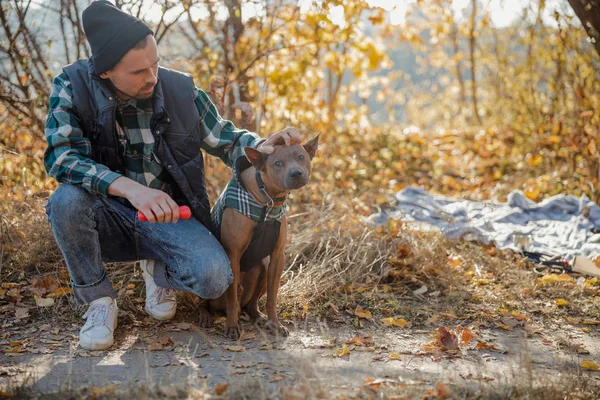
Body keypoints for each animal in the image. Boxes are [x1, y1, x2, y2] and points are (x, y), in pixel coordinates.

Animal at [200, 137, 318, 338]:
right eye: (277, 163)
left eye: (301, 157)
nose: (296, 173)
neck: (267, 201)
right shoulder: (233, 255)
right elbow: (231, 299)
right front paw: (232, 326)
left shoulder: (278, 256)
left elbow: (272, 298)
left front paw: (275, 323)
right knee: (208, 302)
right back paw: (206, 315)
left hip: (262, 266)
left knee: (251, 305)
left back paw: (260, 318)